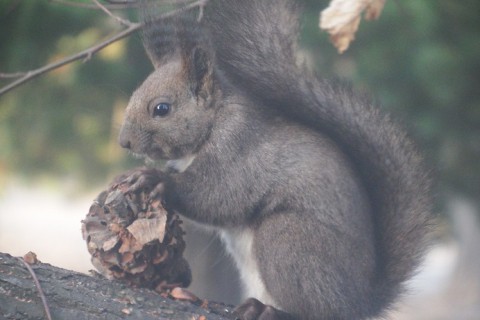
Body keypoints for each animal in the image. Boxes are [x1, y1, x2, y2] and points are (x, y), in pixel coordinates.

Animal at [118, 1, 434, 318]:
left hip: (288, 240)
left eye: (162, 109)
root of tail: (359, 303)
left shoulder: (237, 148)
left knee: (315, 310)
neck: (214, 120)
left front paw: (155, 179)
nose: (124, 142)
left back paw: (271, 310)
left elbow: (215, 194)